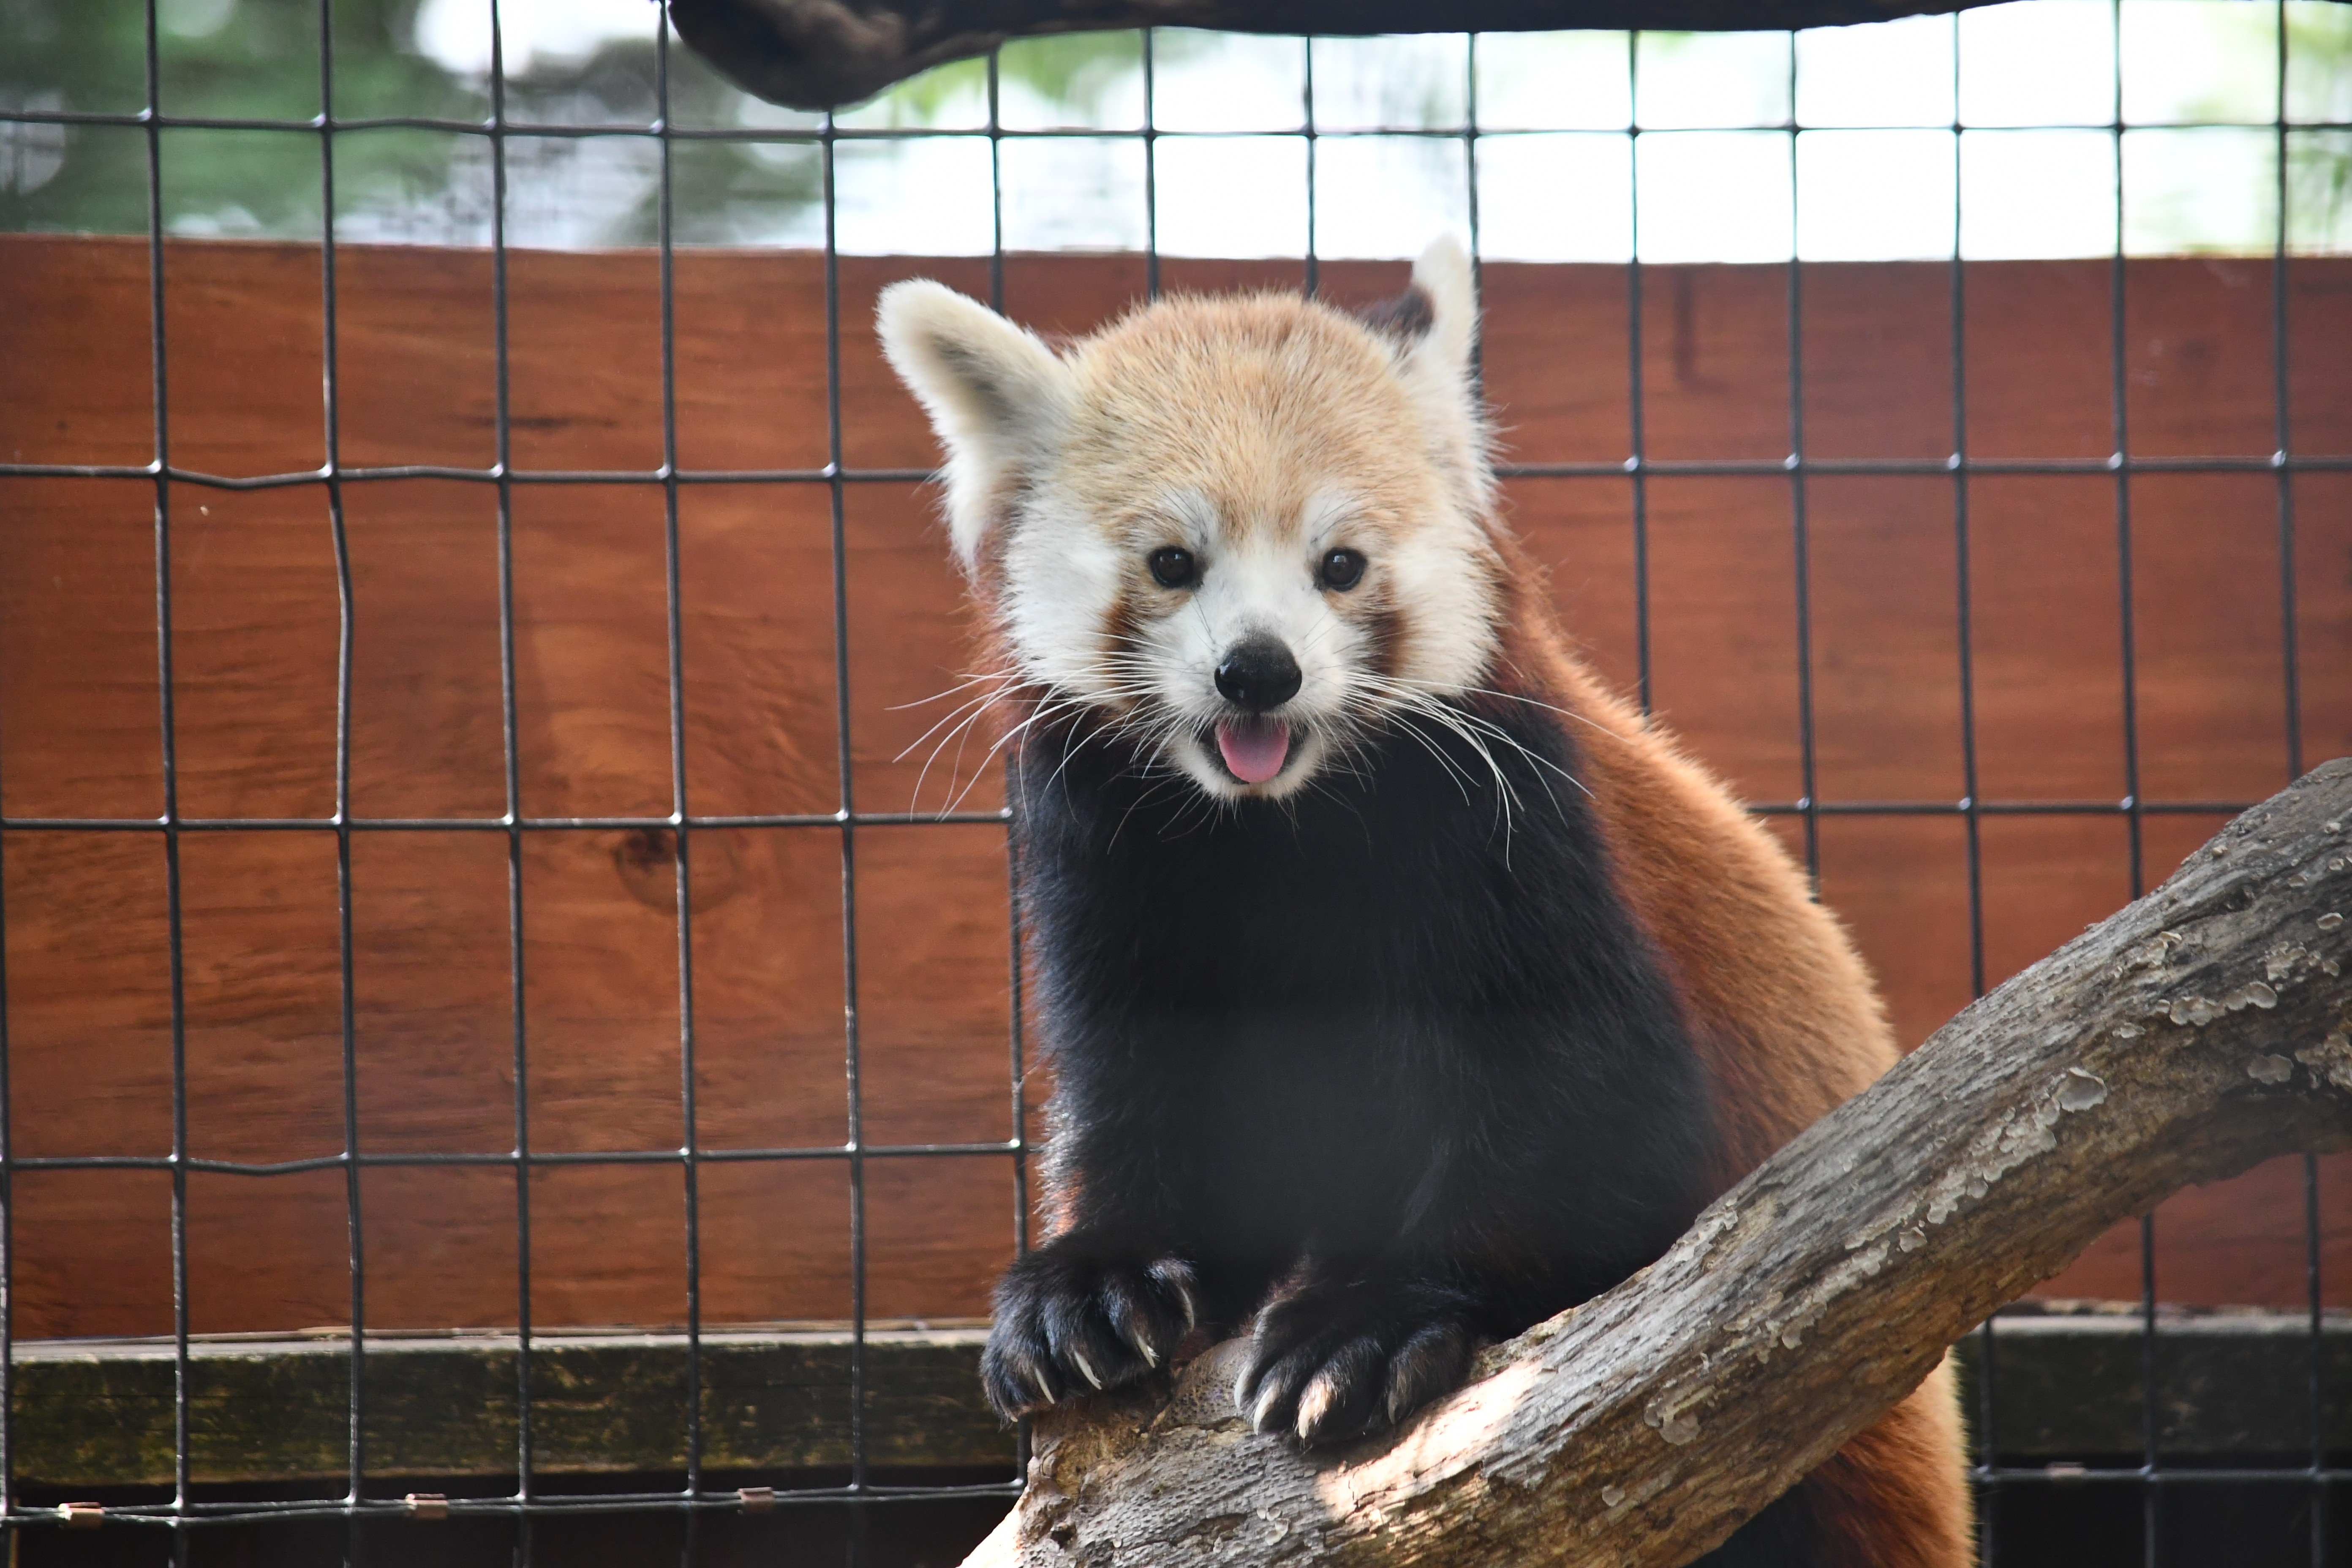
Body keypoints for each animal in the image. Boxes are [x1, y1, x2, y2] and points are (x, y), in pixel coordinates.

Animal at [877, 236, 1971, 1568]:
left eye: (1339, 566)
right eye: (1173, 563)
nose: (1258, 670)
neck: (1278, 829)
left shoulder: (1509, 831)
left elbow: (1599, 1123)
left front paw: (1367, 1322)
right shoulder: (1118, 871)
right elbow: (1155, 1097)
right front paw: (1090, 1287)